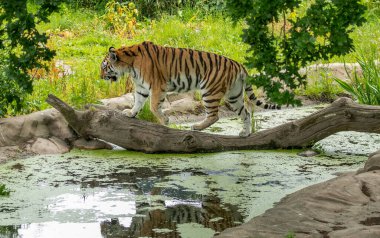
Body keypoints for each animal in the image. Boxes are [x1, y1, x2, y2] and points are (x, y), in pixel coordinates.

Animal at [100, 41, 280, 137]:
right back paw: (245, 133)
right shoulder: (141, 88)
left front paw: (165, 121)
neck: (130, 65)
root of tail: (239, 65)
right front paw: (130, 113)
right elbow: (137, 102)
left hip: (209, 90)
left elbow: (153, 106)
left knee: (214, 116)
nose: (100, 77)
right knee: (246, 113)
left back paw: (196, 127)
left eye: (104, 67)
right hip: (234, 95)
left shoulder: (157, 86)